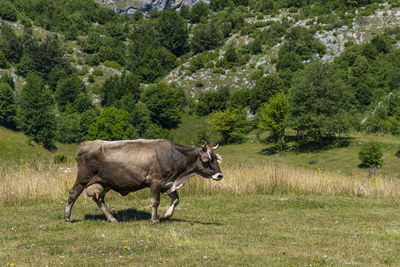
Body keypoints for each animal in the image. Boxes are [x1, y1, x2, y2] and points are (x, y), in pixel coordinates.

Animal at [64, 139, 223, 225]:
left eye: (216, 159)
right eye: (208, 160)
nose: (220, 175)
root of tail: (85, 144)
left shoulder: (168, 183)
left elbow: (176, 200)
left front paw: (165, 215)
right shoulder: (155, 182)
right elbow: (155, 202)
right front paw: (155, 219)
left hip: (103, 182)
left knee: (100, 200)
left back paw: (112, 218)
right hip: (83, 178)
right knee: (73, 193)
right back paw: (67, 218)